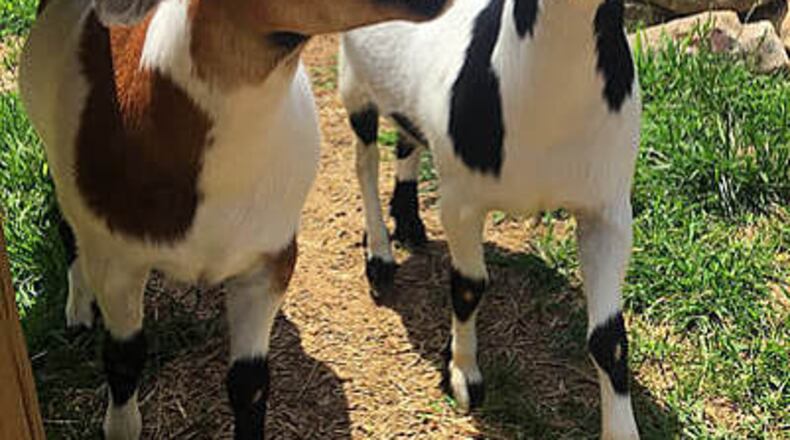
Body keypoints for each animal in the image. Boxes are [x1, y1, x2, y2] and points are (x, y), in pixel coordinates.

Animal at [19, 0, 451, 438]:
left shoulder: (269, 261)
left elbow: (250, 382)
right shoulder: (117, 261)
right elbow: (124, 361)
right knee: (67, 229)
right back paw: (78, 311)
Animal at [339, 0, 641, 438]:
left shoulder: (608, 208)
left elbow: (609, 336)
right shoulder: (461, 202)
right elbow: (469, 286)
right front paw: (462, 376)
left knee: (406, 137)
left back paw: (409, 222)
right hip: (353, 79)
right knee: (365, 160)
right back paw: (379, 257)